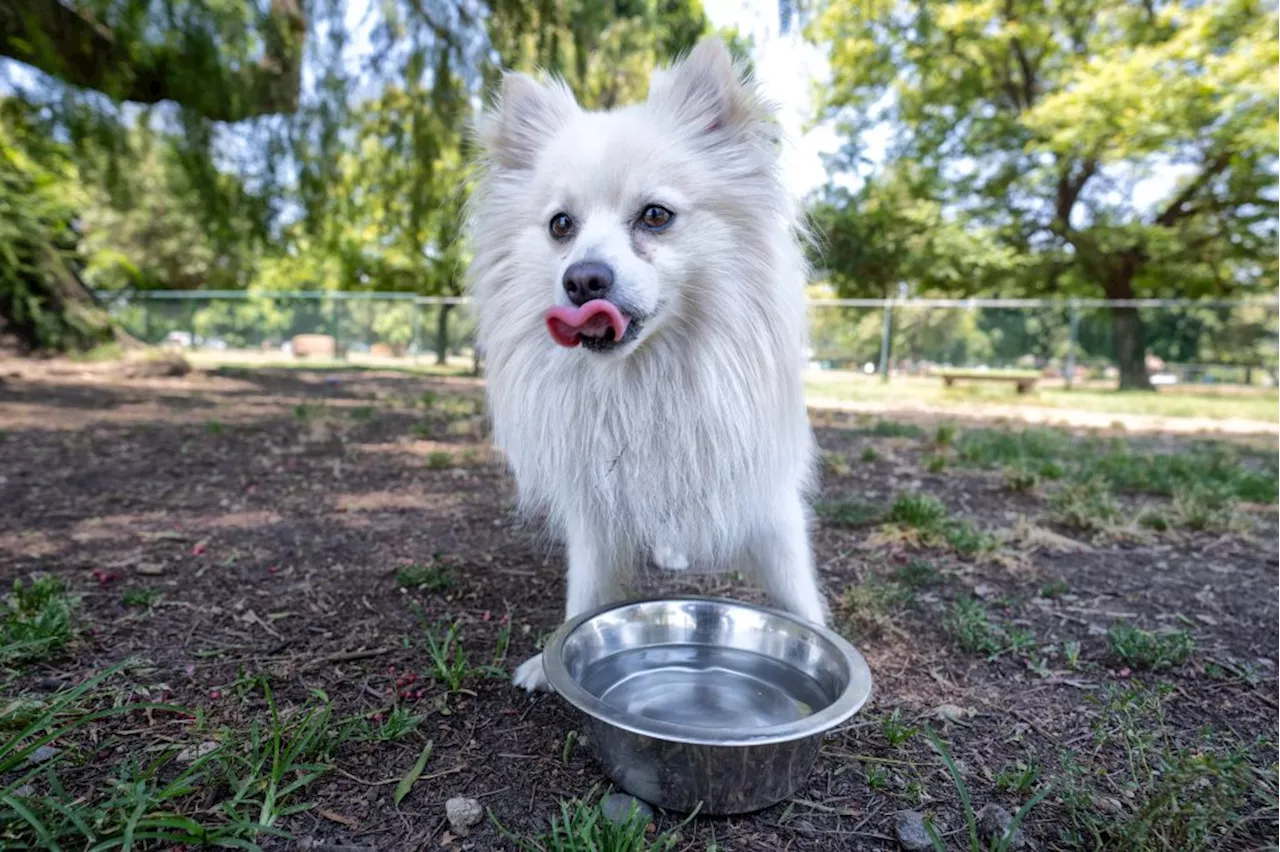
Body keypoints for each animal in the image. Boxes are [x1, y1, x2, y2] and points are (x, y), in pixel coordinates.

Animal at [465, 38, 824, 690]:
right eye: (561, 226)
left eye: (655, 215)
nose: (582, 279)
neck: (646, 376)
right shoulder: (595, 497)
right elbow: (585, 587)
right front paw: (549, 661)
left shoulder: (766, 492)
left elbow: (796, 584)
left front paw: (822, 642)